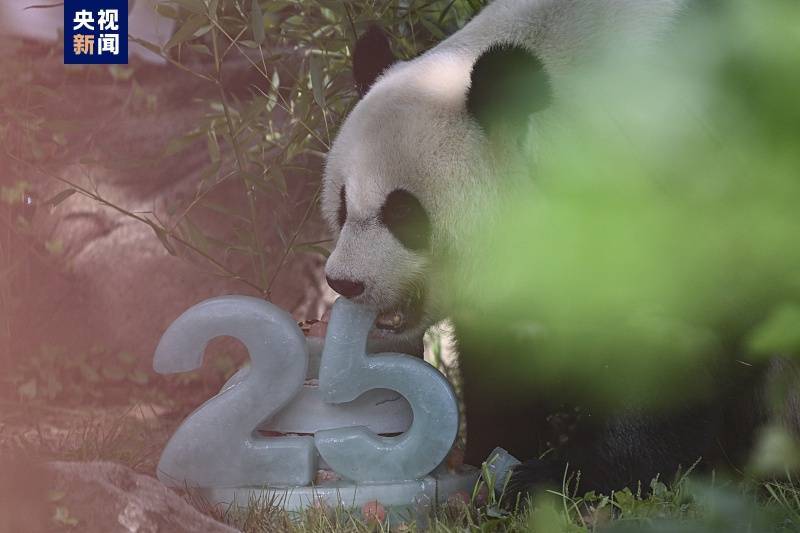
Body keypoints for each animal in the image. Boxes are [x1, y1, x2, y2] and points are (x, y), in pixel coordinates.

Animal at [320, 0, 776, 494]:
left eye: (403, 213)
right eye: (343, 204)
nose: (344, 281)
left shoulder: (695, 161)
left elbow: (688, 331)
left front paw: (560, 476)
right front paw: (493, 456)